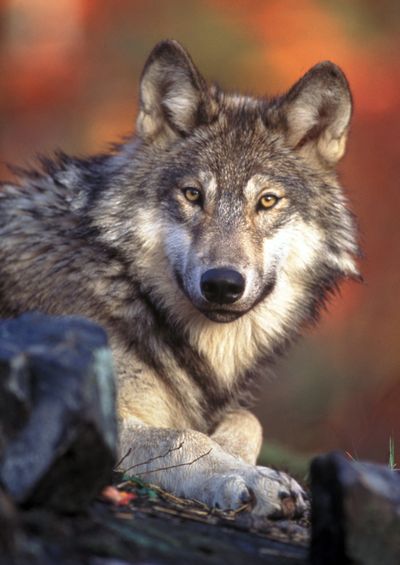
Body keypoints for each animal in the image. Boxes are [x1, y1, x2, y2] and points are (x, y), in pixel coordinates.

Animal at [0, 39, 356, 516]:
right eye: (193, 195)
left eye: (267, 201)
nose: (222, 284)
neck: (126, 285)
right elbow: (182, 438)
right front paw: (250, 478)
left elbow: (248, 419)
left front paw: (239, 456)